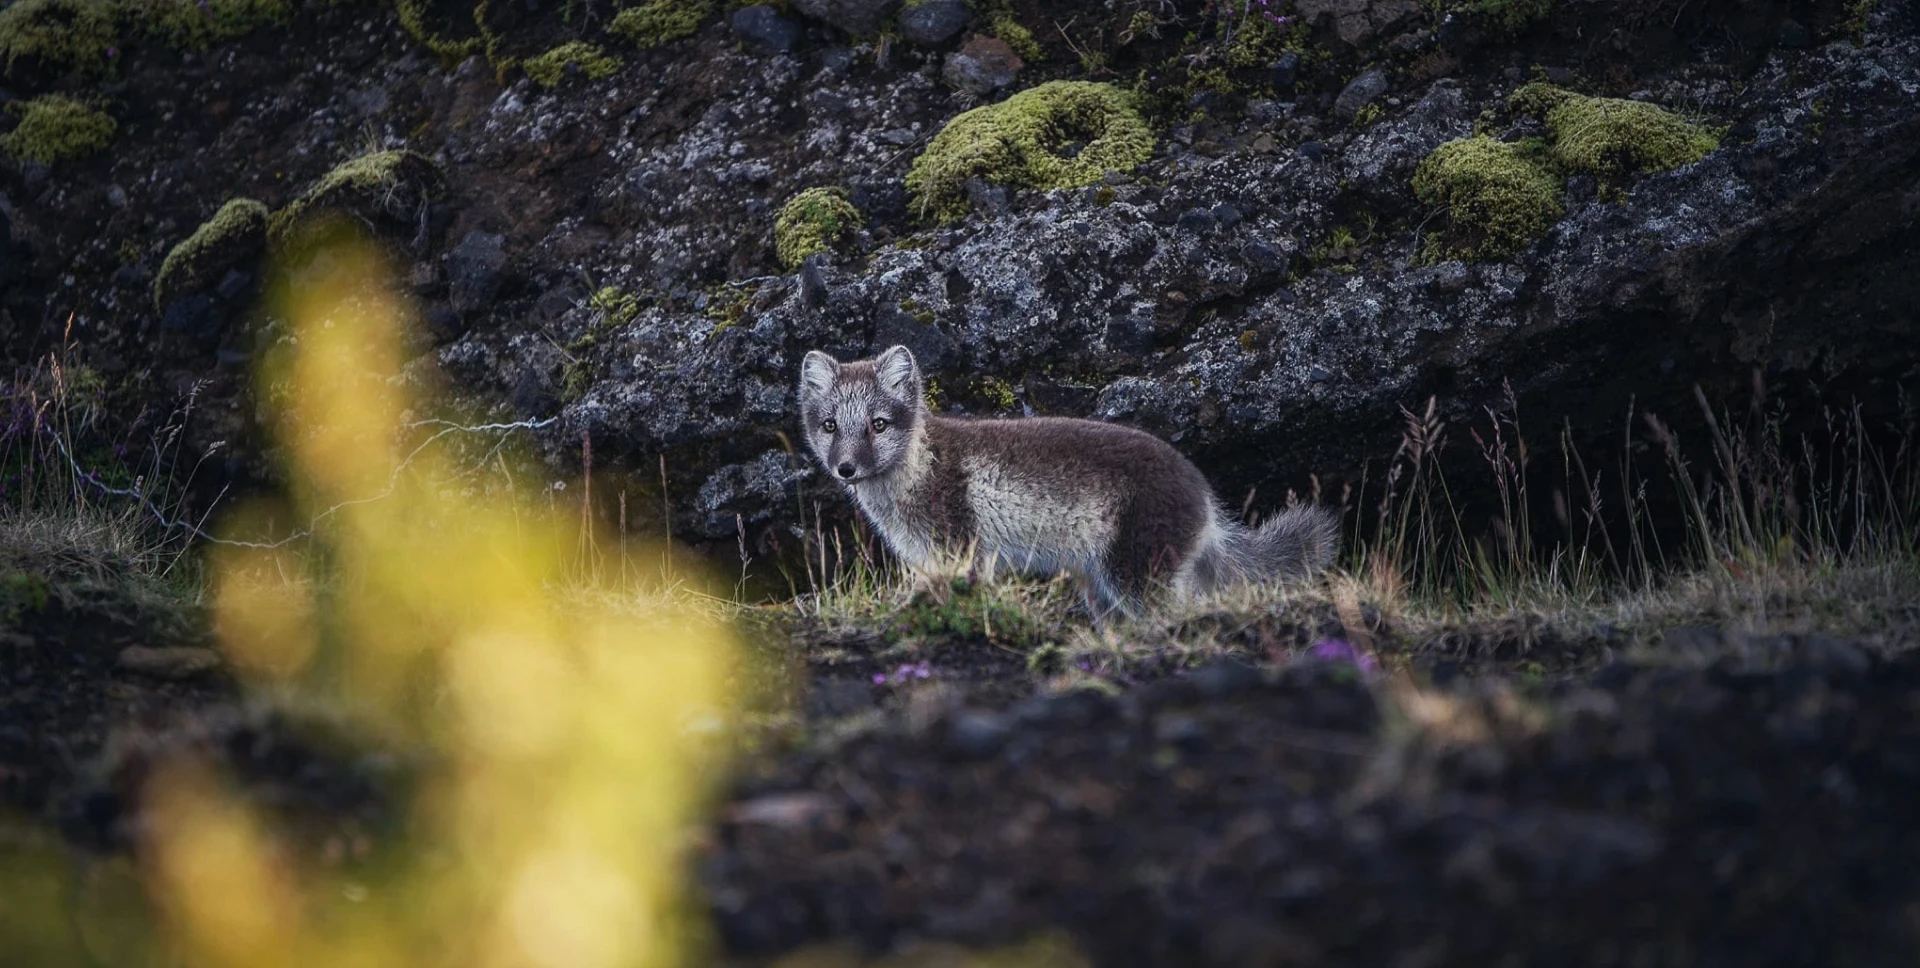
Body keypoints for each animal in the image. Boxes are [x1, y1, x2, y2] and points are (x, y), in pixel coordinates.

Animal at [797, 344, 1340, 616]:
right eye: (829, 425)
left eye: (878, 424)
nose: (845, 468)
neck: (916, 470)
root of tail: (1207, 501)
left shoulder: (963, 546)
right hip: (1101, 585)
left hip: (1137, 572)